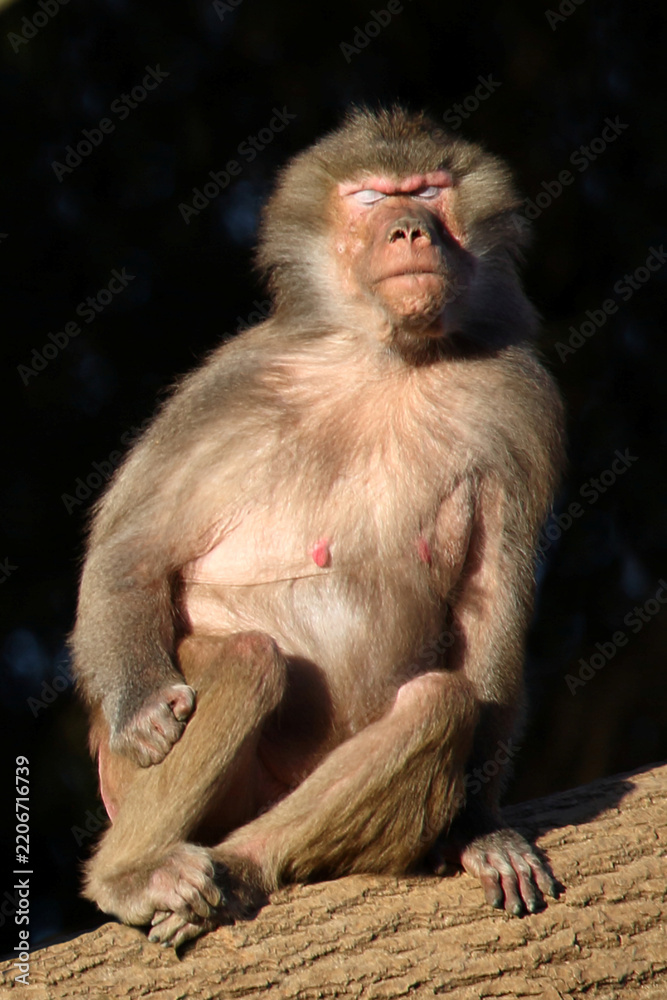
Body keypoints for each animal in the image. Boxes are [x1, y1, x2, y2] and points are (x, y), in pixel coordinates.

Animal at [71, 106, 565, 949]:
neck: (391, 357)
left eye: (426, 192)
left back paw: (243, 864)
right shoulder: (237, 381)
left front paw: (478, 830)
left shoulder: (516, 400)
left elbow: (488, 611)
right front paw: (142, 714)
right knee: (246, 660)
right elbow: (130, 554)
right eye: (368, 199)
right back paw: (129, 874)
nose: (408, 231)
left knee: (439, 704)